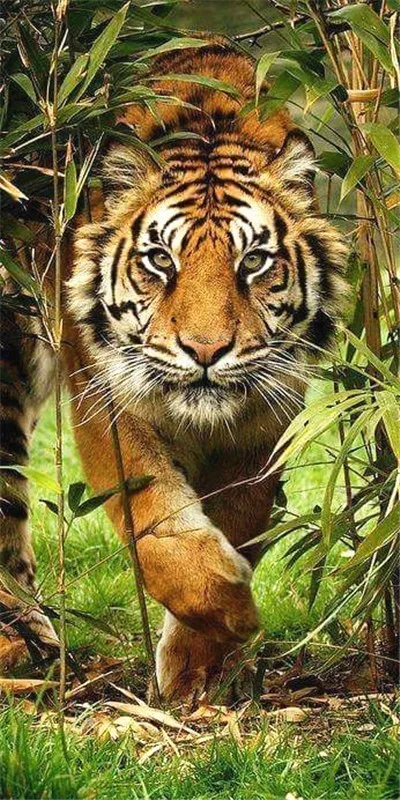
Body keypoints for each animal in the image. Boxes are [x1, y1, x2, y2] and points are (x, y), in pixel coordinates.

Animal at [0, 37, 346, 705]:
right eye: (160, 260)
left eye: (254, 261)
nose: (205, 351)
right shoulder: (107, 398)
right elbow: (154, 519)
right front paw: (230, 610)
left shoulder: (268, 417)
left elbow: (239, 517)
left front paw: (200, 666)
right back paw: (20, 644)